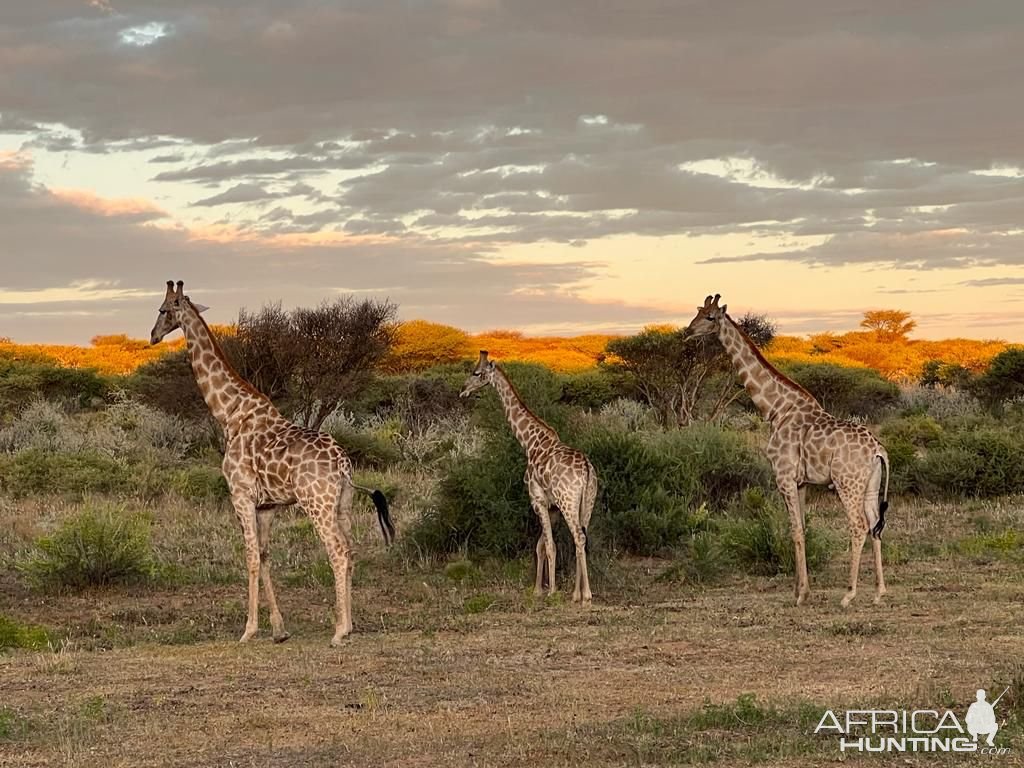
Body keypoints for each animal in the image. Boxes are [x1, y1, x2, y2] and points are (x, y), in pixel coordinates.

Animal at [148, 280, 395, 647]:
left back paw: (338, 631)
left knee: (337, 551)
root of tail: (343, 465)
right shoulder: (267, 505)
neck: (229, 414)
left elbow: (250, 557)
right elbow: (265, 557)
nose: (152, 336)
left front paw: (248, 630)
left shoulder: (240, 495)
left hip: (316, 504)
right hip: (343, 504)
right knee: (351, 550)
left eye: (163, 310)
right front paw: (279, 630)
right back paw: (349, 625)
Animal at [458, 352, 598, 606]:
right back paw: (578, 593)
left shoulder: (538, 500)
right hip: (587, 502)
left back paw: (585, 596)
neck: (530, 443)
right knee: (581, 537)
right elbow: (541, 544)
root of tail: (586, 469)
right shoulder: (552, 507)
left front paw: (550, 591)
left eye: (477, 372)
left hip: (568, 502)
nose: (462, 390)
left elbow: (548, 545)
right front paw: (538, 589)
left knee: (578, 537)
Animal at [688, 294, 888, 606]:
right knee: (875, 524)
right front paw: (800, 589)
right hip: (870, 485)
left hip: (847, 484)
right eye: (697, 312)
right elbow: (803, 528)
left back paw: (849, 594)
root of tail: (878, 450)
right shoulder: (802, 481)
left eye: (710, 317)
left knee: (858, 526)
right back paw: (879, 592)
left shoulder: (783, 476)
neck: (775, 409)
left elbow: (794, 530)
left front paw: (801, 595)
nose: (687, 332)